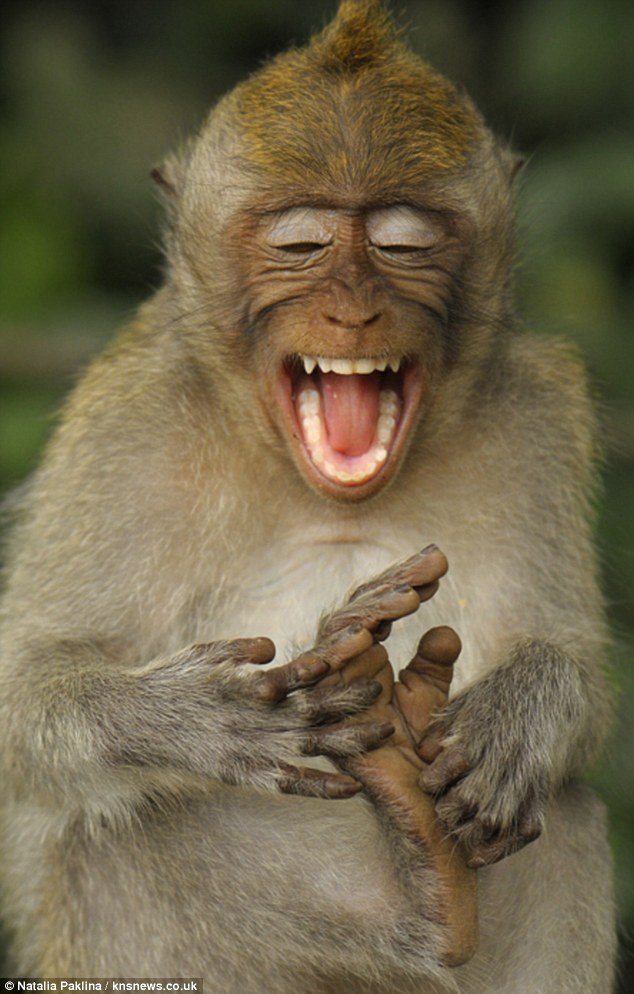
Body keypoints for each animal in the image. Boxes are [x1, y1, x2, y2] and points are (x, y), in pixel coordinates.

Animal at [0, 0, 616, 991]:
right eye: (302, 245)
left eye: (404, 244)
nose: (355, 309)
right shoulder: (127, 420)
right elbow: (25, 690)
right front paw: (207, 718)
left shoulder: (535, 412)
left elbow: (572, 660)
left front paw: (523, 715)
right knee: (113, 844)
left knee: (570, 821)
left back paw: (433, 867)